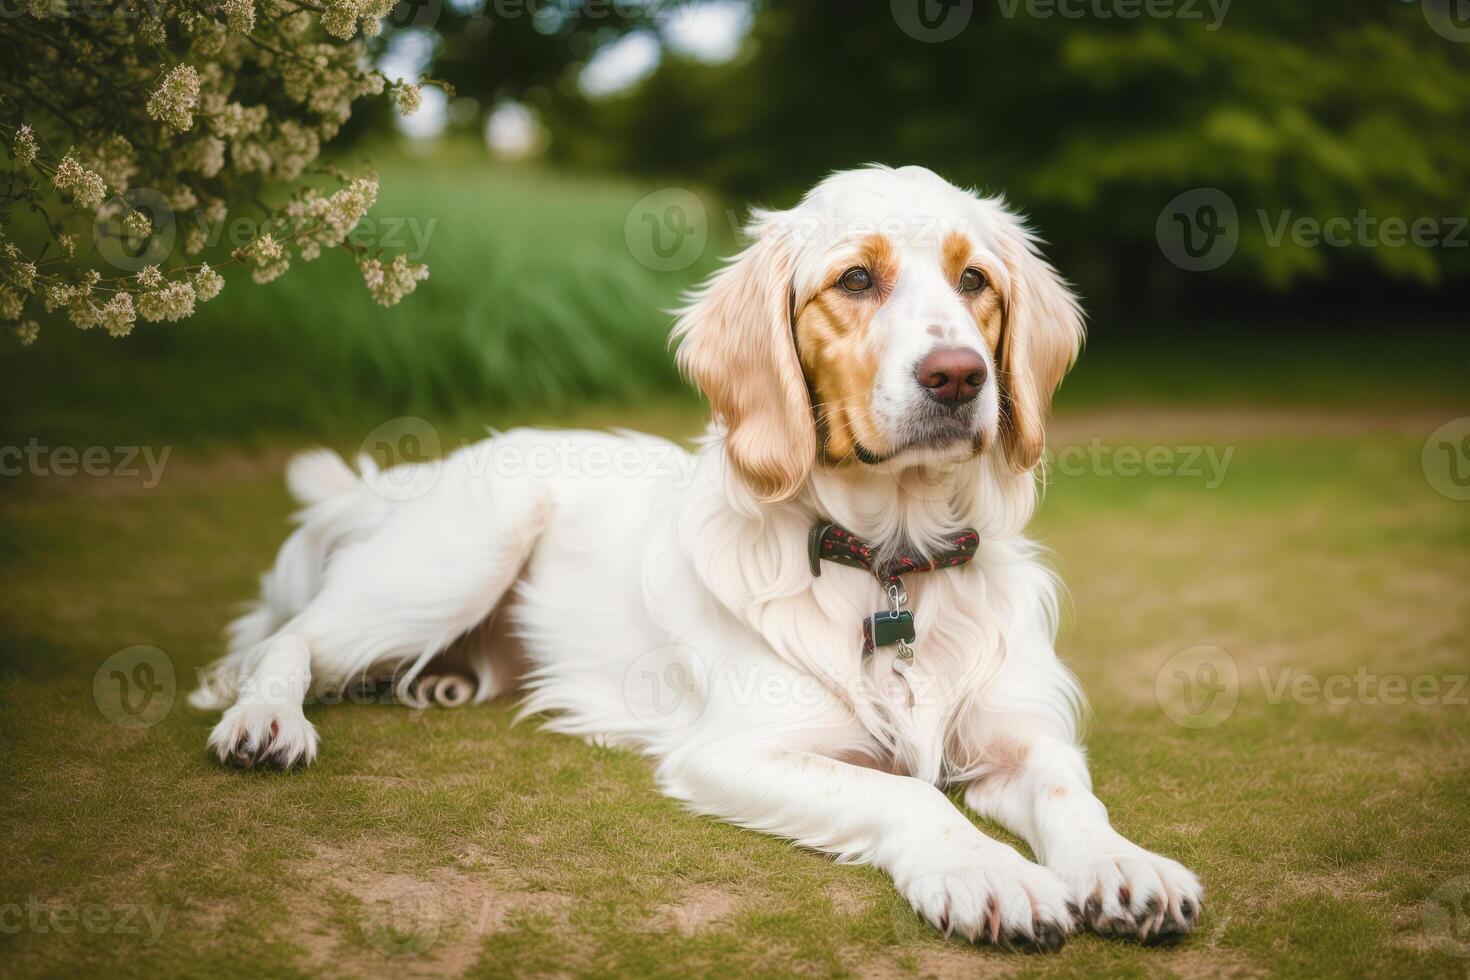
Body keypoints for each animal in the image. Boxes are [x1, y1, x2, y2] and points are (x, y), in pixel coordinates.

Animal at [192, 166, 1205, 952]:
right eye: (856, 279)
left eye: (975, 279)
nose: (958, 377)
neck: (889, 563)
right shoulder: (737, 749)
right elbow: (910, 798)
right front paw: (984, 871)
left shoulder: (1020, 738)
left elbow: (1074, 796)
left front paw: (1124, 865)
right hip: (460, 551)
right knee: (281, 644)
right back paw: (267, 721)